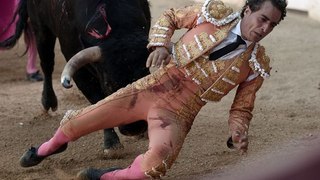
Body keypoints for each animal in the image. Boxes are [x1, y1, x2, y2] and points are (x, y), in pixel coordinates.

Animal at [0, 0, 151, 157]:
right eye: (108, 84)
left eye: (145, 77)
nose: (134, 127)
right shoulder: (78, 70)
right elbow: (97, 101)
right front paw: (111, 144)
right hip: (40, 27)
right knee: (47, 63)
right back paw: (48, 101)